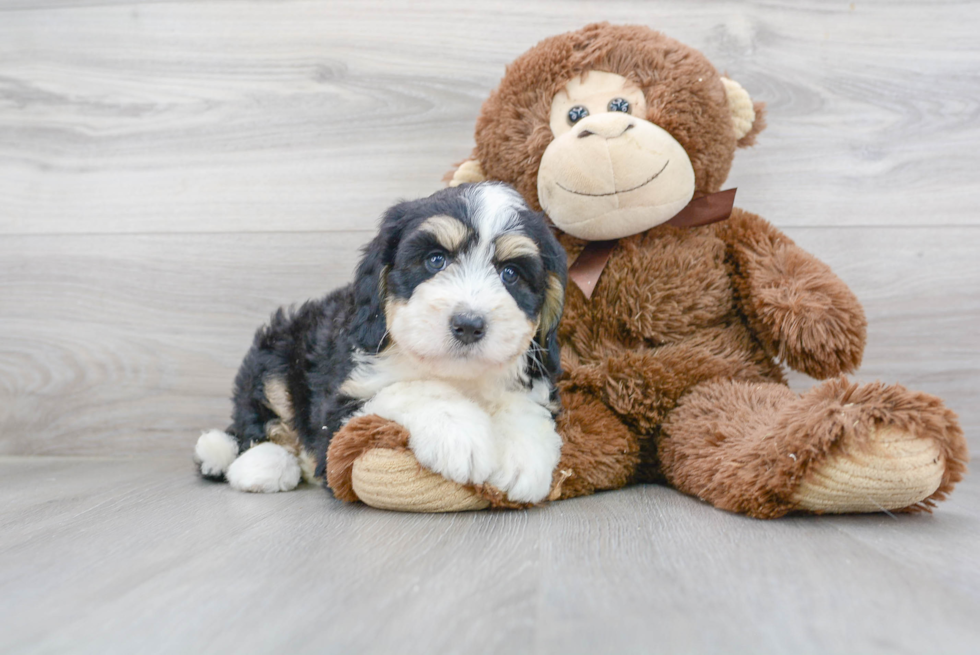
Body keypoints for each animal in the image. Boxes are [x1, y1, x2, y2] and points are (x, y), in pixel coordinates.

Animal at [193, 182, 568, 504]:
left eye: (511, 274)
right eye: (435, 260)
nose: (469, 325)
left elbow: (525, 407)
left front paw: (522, 456)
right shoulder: (340, 408)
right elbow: (410, 390)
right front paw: (459, 432)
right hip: (276, 352)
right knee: (258, 419)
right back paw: (260, 464)